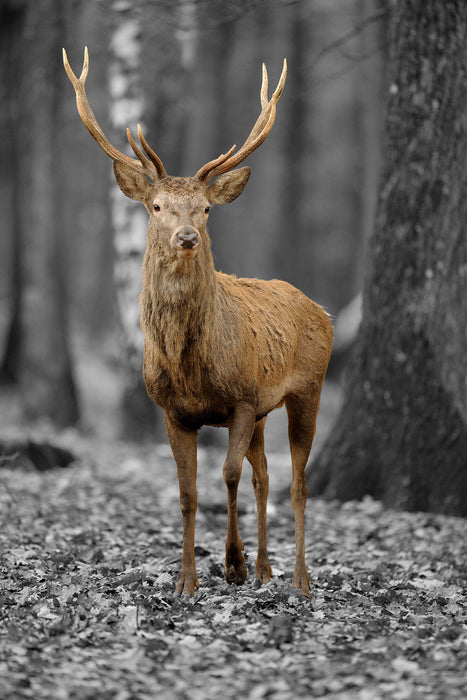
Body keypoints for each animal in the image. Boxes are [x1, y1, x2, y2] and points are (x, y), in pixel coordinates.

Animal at [64, 47, 334, 596]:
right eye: (157, 206)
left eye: (206, 208)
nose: (186, 236)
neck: (190, 366)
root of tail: (323, 311)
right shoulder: (173, 410)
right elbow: (187, 492)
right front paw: (186, 580)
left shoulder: (242, 399)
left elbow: (226, 476)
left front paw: (231, 564)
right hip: (267, 410)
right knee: (266, 476)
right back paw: (266, 569)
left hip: (308, 388)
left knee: (296, 482)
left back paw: (298, 578)